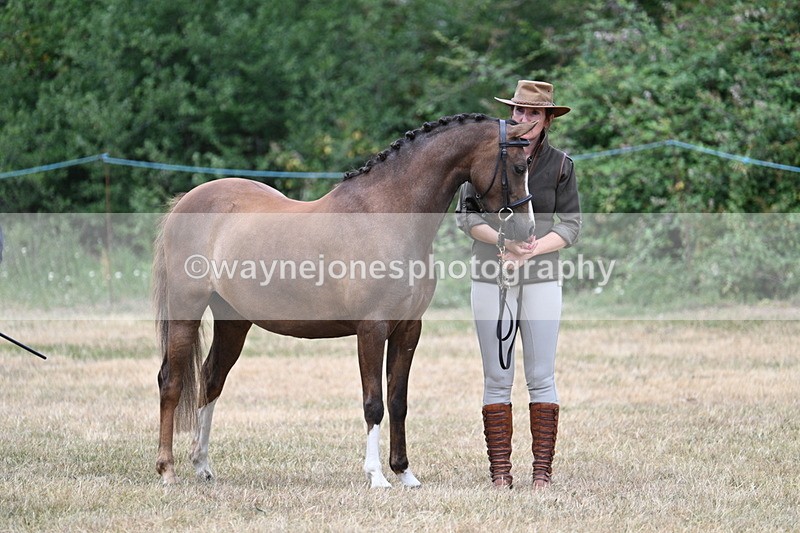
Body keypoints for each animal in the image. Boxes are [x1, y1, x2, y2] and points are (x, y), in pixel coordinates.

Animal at [152, 113, 536, 488]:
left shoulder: (408, 329)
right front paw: (376, 475)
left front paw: (405, 473)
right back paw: (167, 469)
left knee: (211, 380)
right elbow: (374, 403)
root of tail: (186, 201)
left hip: (233, 320)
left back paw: (202, 465)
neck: (388, 216)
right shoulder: (372, 328)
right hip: (186, 310)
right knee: (171, 382)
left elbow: (398, 401)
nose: (528, 231)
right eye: (519, 166)